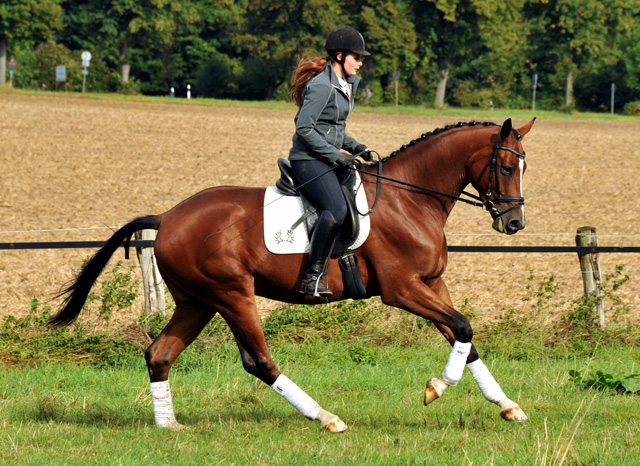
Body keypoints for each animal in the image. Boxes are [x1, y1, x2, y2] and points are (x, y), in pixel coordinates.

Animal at [48, 118, 536, 432]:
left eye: (524, 166)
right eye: (506, 167)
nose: (514, 224)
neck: (411, 198)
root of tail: (167, 217)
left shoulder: (432, 284)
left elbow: (464, 338)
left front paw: (508, 406)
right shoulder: (402, 289)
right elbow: (463, 327)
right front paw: (436, 388)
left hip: (197, 302)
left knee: (160, 354)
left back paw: (170, 427)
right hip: (231, 295)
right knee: (258, 361)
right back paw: (326, 418)